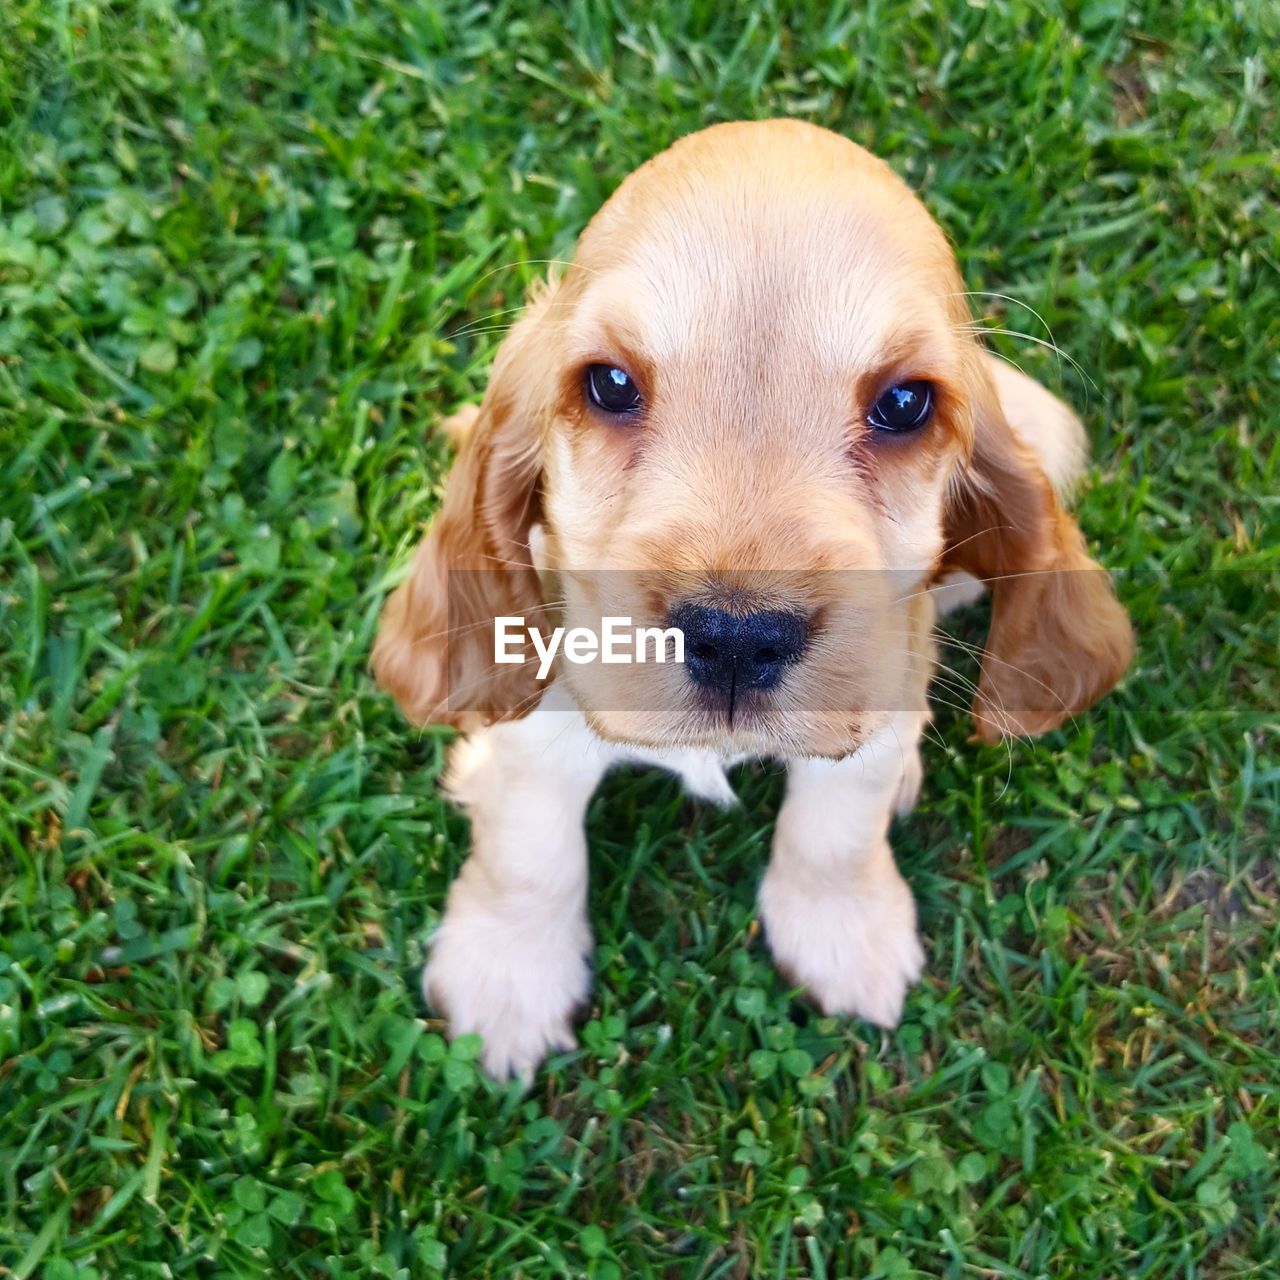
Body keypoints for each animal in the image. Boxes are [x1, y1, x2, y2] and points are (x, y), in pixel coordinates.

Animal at [373, 120, 1136, 1080]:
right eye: (609, 384)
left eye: (905, 401)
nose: (736, 637)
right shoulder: (539, 719)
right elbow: (529, 848)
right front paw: (507, 979)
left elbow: (836, 824)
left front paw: (846, 935)